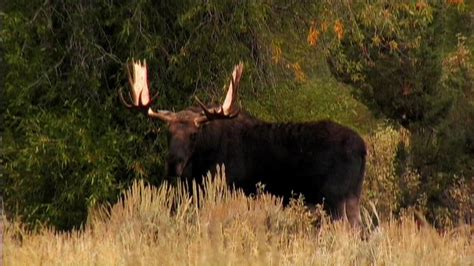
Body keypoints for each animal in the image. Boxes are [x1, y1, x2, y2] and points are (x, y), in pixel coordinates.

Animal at [119, 60, 366, 227]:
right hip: (351, 196)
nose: (173, 164)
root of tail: (364, 149)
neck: (201, 165)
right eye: (167, 133)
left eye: (193, 135)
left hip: (335, 196)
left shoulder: (230, 190)